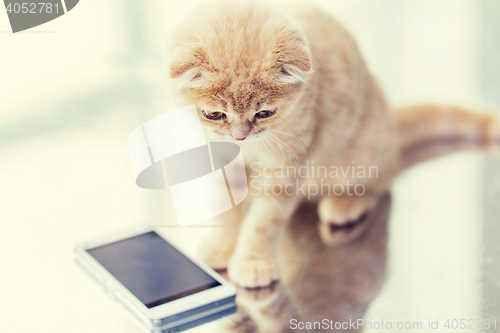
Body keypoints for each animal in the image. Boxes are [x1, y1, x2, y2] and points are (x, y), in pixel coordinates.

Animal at [165, 0, 500, 286]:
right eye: (214, 114)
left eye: (264, 113)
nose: (240, 136)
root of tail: (390, 126)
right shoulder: (218, 158)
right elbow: (227, 207)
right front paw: (224, 245)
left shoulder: (287, 163)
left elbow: (265, 219)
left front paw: (253, 261)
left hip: (364, 151)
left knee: (381, 180)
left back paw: (345, 203)